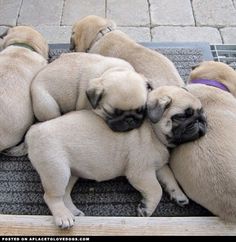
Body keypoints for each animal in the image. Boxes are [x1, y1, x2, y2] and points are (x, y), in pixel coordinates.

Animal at [26, 86, 206, 229]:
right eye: (181, 117)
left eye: (202, 112)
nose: (201, 121)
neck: (153, 131)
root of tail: (33, 131)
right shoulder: (141, 173)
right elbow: (157, 189)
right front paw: (146, 208)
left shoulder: (160, 166)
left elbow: (170, 179)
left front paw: (179, 195)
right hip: (57, 171)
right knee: (52, 196)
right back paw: (63, 216)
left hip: (71, 172)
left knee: (64, 194)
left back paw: (73, 212)